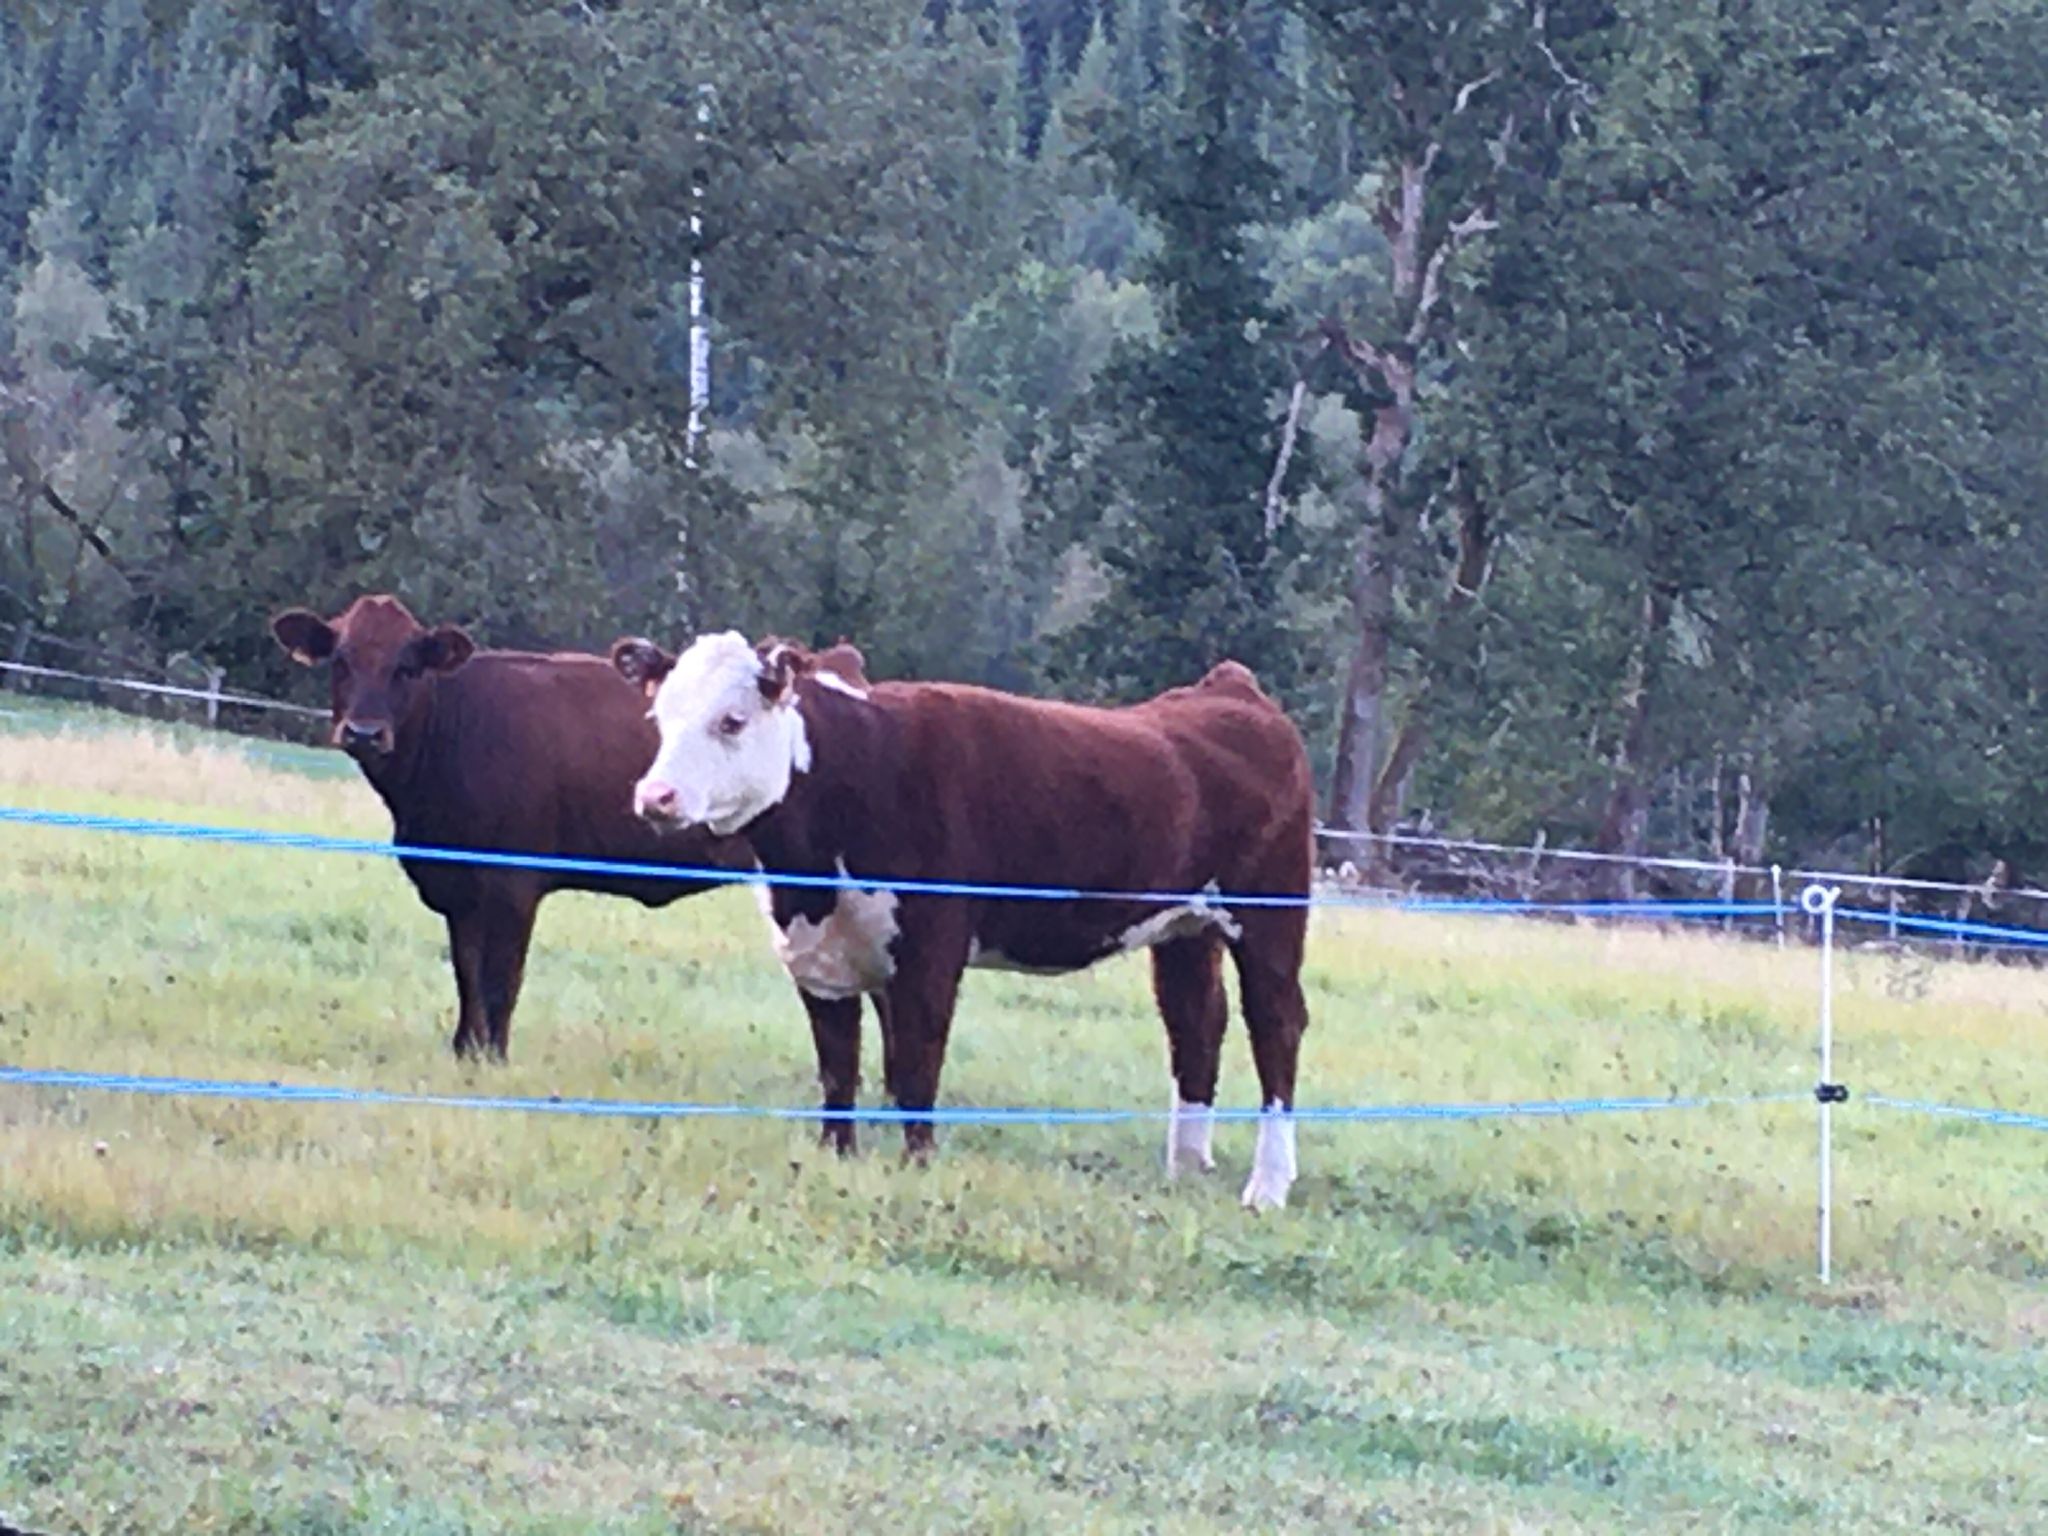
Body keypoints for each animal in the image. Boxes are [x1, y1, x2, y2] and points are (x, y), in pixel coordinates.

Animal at [269, 594, 876, 1066]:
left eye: (407, 666)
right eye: (340, 661)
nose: (364, 732)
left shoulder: (513, 884)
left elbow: (500, 981)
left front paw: (493, 1061)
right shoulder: (460, 890)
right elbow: (467, 974)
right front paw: (465, 1053)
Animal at [606, 630, 1315, 1210]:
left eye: (732, 721)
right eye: (660, 717)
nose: (655, 797)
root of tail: (1230, 690)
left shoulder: (931, 951)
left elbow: (916, 1068)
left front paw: (917, 1166)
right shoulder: (819, 957)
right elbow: (839, 1068)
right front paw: (837, 1156)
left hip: (1271, 919)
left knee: (1276, 1026)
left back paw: (1268, 1186)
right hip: (1184, 931)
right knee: (1196, 1023)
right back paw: (1187, 1166)